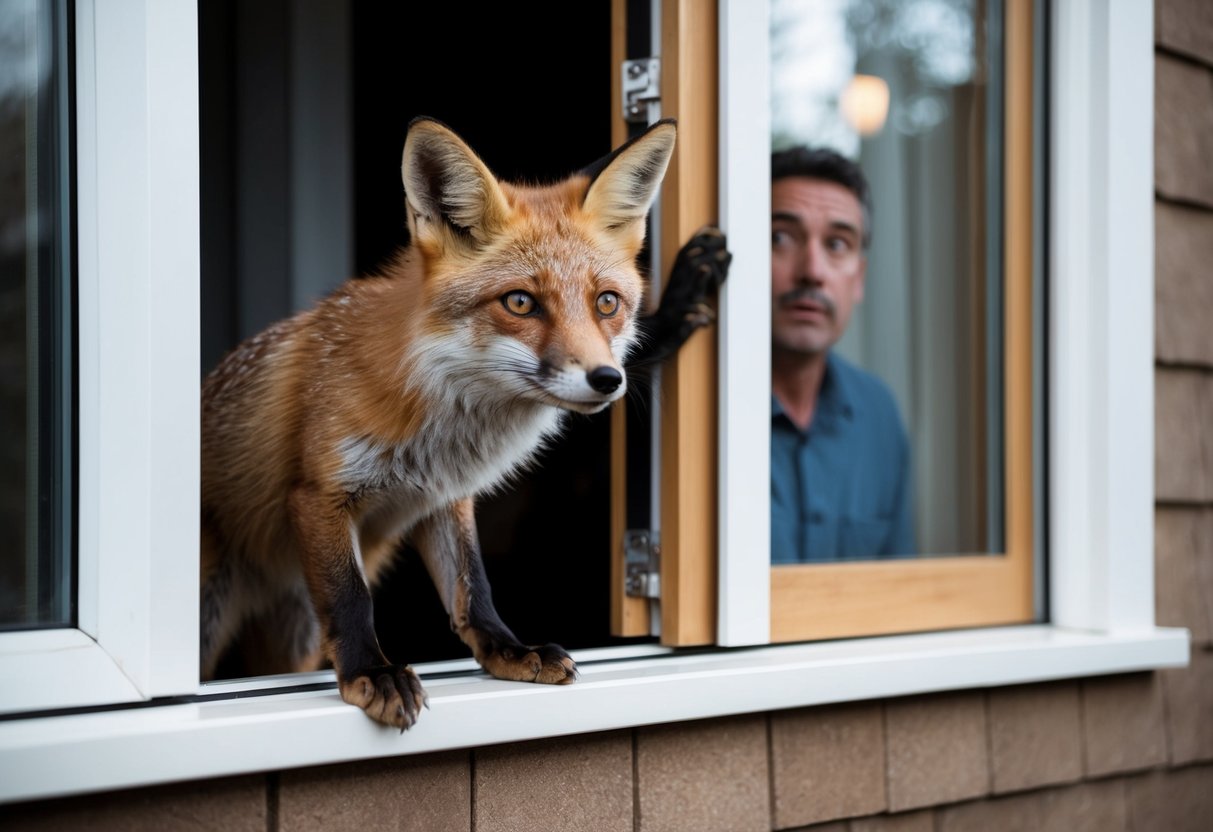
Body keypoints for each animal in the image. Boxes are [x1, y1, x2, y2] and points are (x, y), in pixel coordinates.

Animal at [199, 116, 678, 729]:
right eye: (520, 302)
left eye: (607, 303)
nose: (607, 379)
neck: (443, 431)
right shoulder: (319, 493)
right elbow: (352, 597)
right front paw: (372, 673)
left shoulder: (444, 497)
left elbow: (474, 589)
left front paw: (509, 652)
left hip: (293, 633)